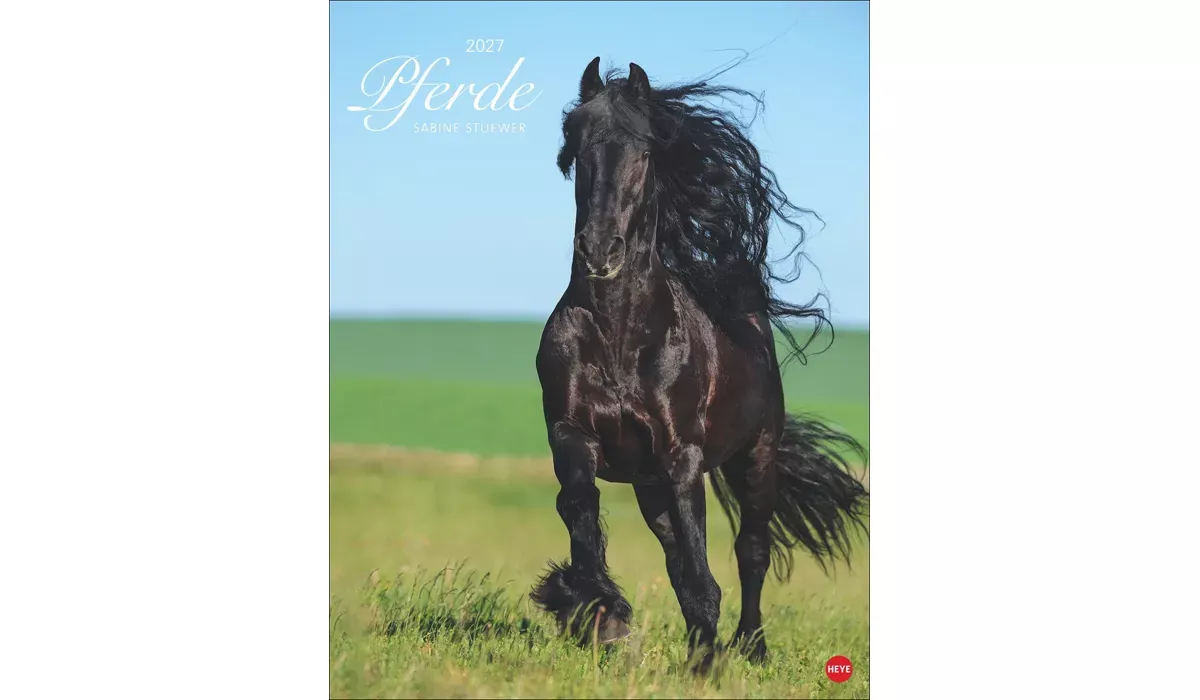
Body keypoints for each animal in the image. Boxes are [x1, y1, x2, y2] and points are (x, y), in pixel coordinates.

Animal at [530, 57, 868, 671]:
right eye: (578, 150)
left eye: (644, 153)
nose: (599, 251)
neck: (620, 336)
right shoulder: (572, 434)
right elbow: (581, 510)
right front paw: (595, 610)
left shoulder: (681, 456)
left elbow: (702, 564)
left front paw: (705, 656)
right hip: (649, 485)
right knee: (674, 554)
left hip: (755, 458)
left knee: (751, 551)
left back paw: (750, 647)